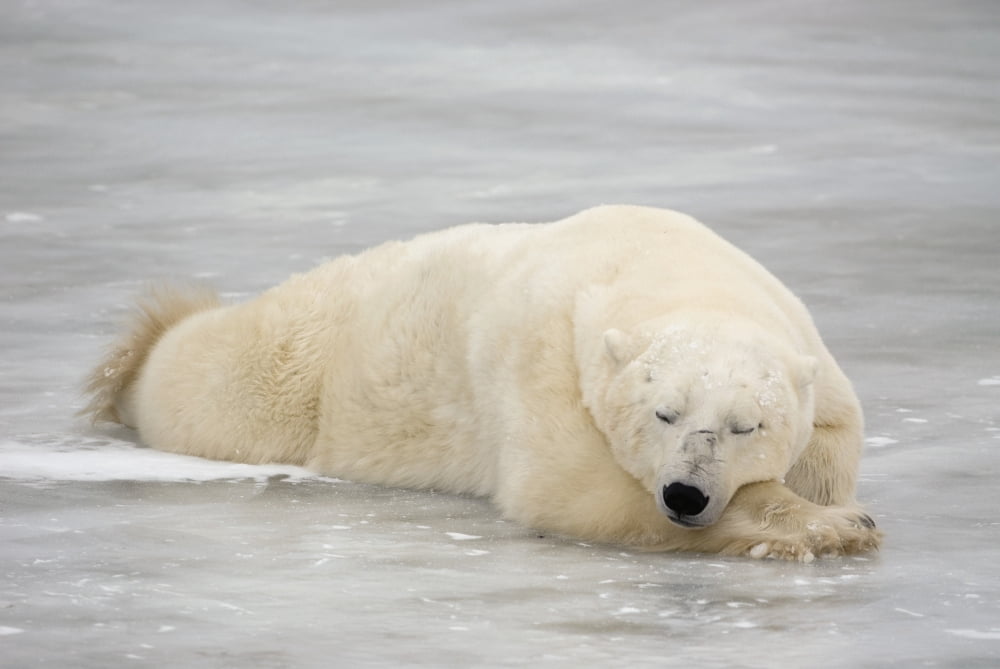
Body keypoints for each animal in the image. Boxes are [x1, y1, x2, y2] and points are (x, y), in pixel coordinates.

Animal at [83, 205, 881, 561]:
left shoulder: (807, 348)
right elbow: (566, 488)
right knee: (209, 375)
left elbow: (831, 439)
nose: (685, 494)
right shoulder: (549, 354)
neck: (665, 263)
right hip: (293, 369)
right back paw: (140, 351)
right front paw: (831, 526)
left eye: (749, 424)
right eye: (664, 412)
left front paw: (829, 509)